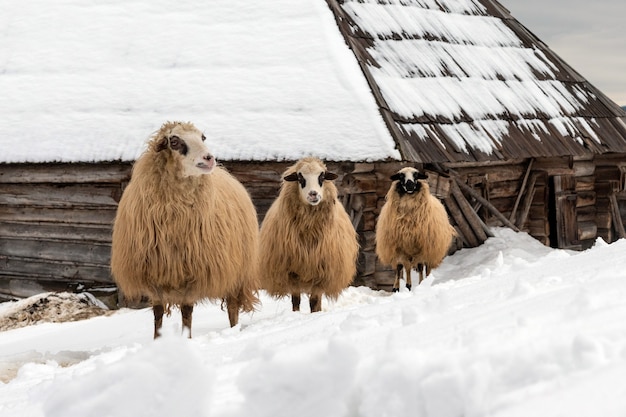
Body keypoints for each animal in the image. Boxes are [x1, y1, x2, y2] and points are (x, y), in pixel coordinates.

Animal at [110, 120, 258, 338]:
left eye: (203, 137)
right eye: (174, 141)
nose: (209, 158)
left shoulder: (194, 271)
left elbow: (187, 311)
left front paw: (186, 339)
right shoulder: (154, 272)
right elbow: (158, 313)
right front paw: (157, 340)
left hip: (238, 271)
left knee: (232, 307)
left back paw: (233, 330)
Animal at [258, 157, 356, 312]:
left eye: (322, 176)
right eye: (300, 177)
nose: (313, 194)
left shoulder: (322, 271)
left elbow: (314, 301)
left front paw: (315, 314)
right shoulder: (291, 271)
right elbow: (295, 300)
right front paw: (295, 314)